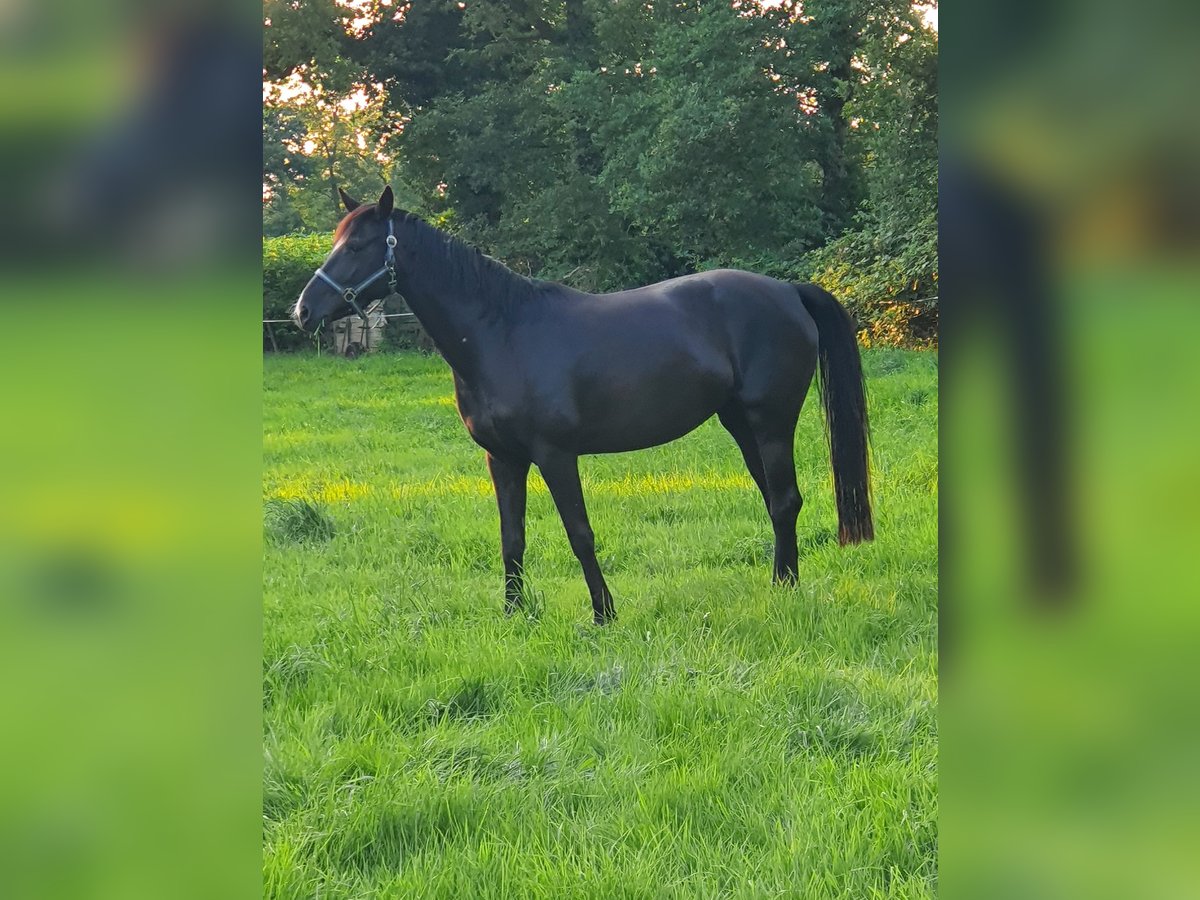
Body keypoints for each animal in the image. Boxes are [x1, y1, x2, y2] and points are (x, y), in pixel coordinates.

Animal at [292, 187, 873, 624]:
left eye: (360, 245)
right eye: (337, 240)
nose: (302, 311)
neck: (503, 333)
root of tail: (788, 291)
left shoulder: (555, 455)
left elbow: (580, 534)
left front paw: (603, 614)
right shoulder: (503, 460)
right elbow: (512, 539)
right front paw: (513, 616)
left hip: (770, 423)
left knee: (784, 501)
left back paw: (784, 591)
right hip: (741, 425)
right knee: (777, 502)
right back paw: (781, 585)